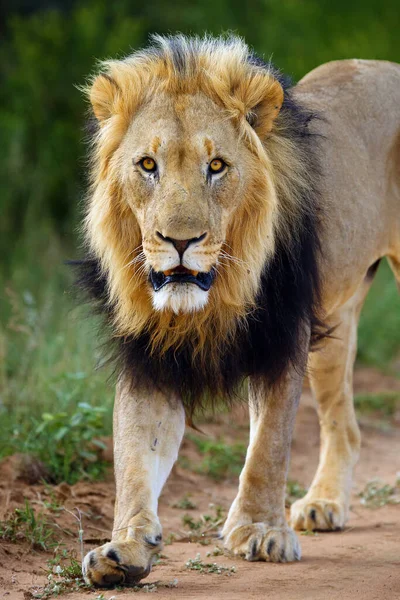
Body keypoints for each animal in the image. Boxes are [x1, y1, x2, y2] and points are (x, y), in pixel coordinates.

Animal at [76, 35, 400, 588]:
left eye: (217, 166)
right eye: (147, 165)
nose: (179, 242)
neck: (211, 298)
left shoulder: (283, 336)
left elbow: (268, 445)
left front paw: (260, 530)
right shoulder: (147, 354)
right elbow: (135, 454)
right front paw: (125, 547)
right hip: (336, 326)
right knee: (344, 425)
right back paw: (325, 503)